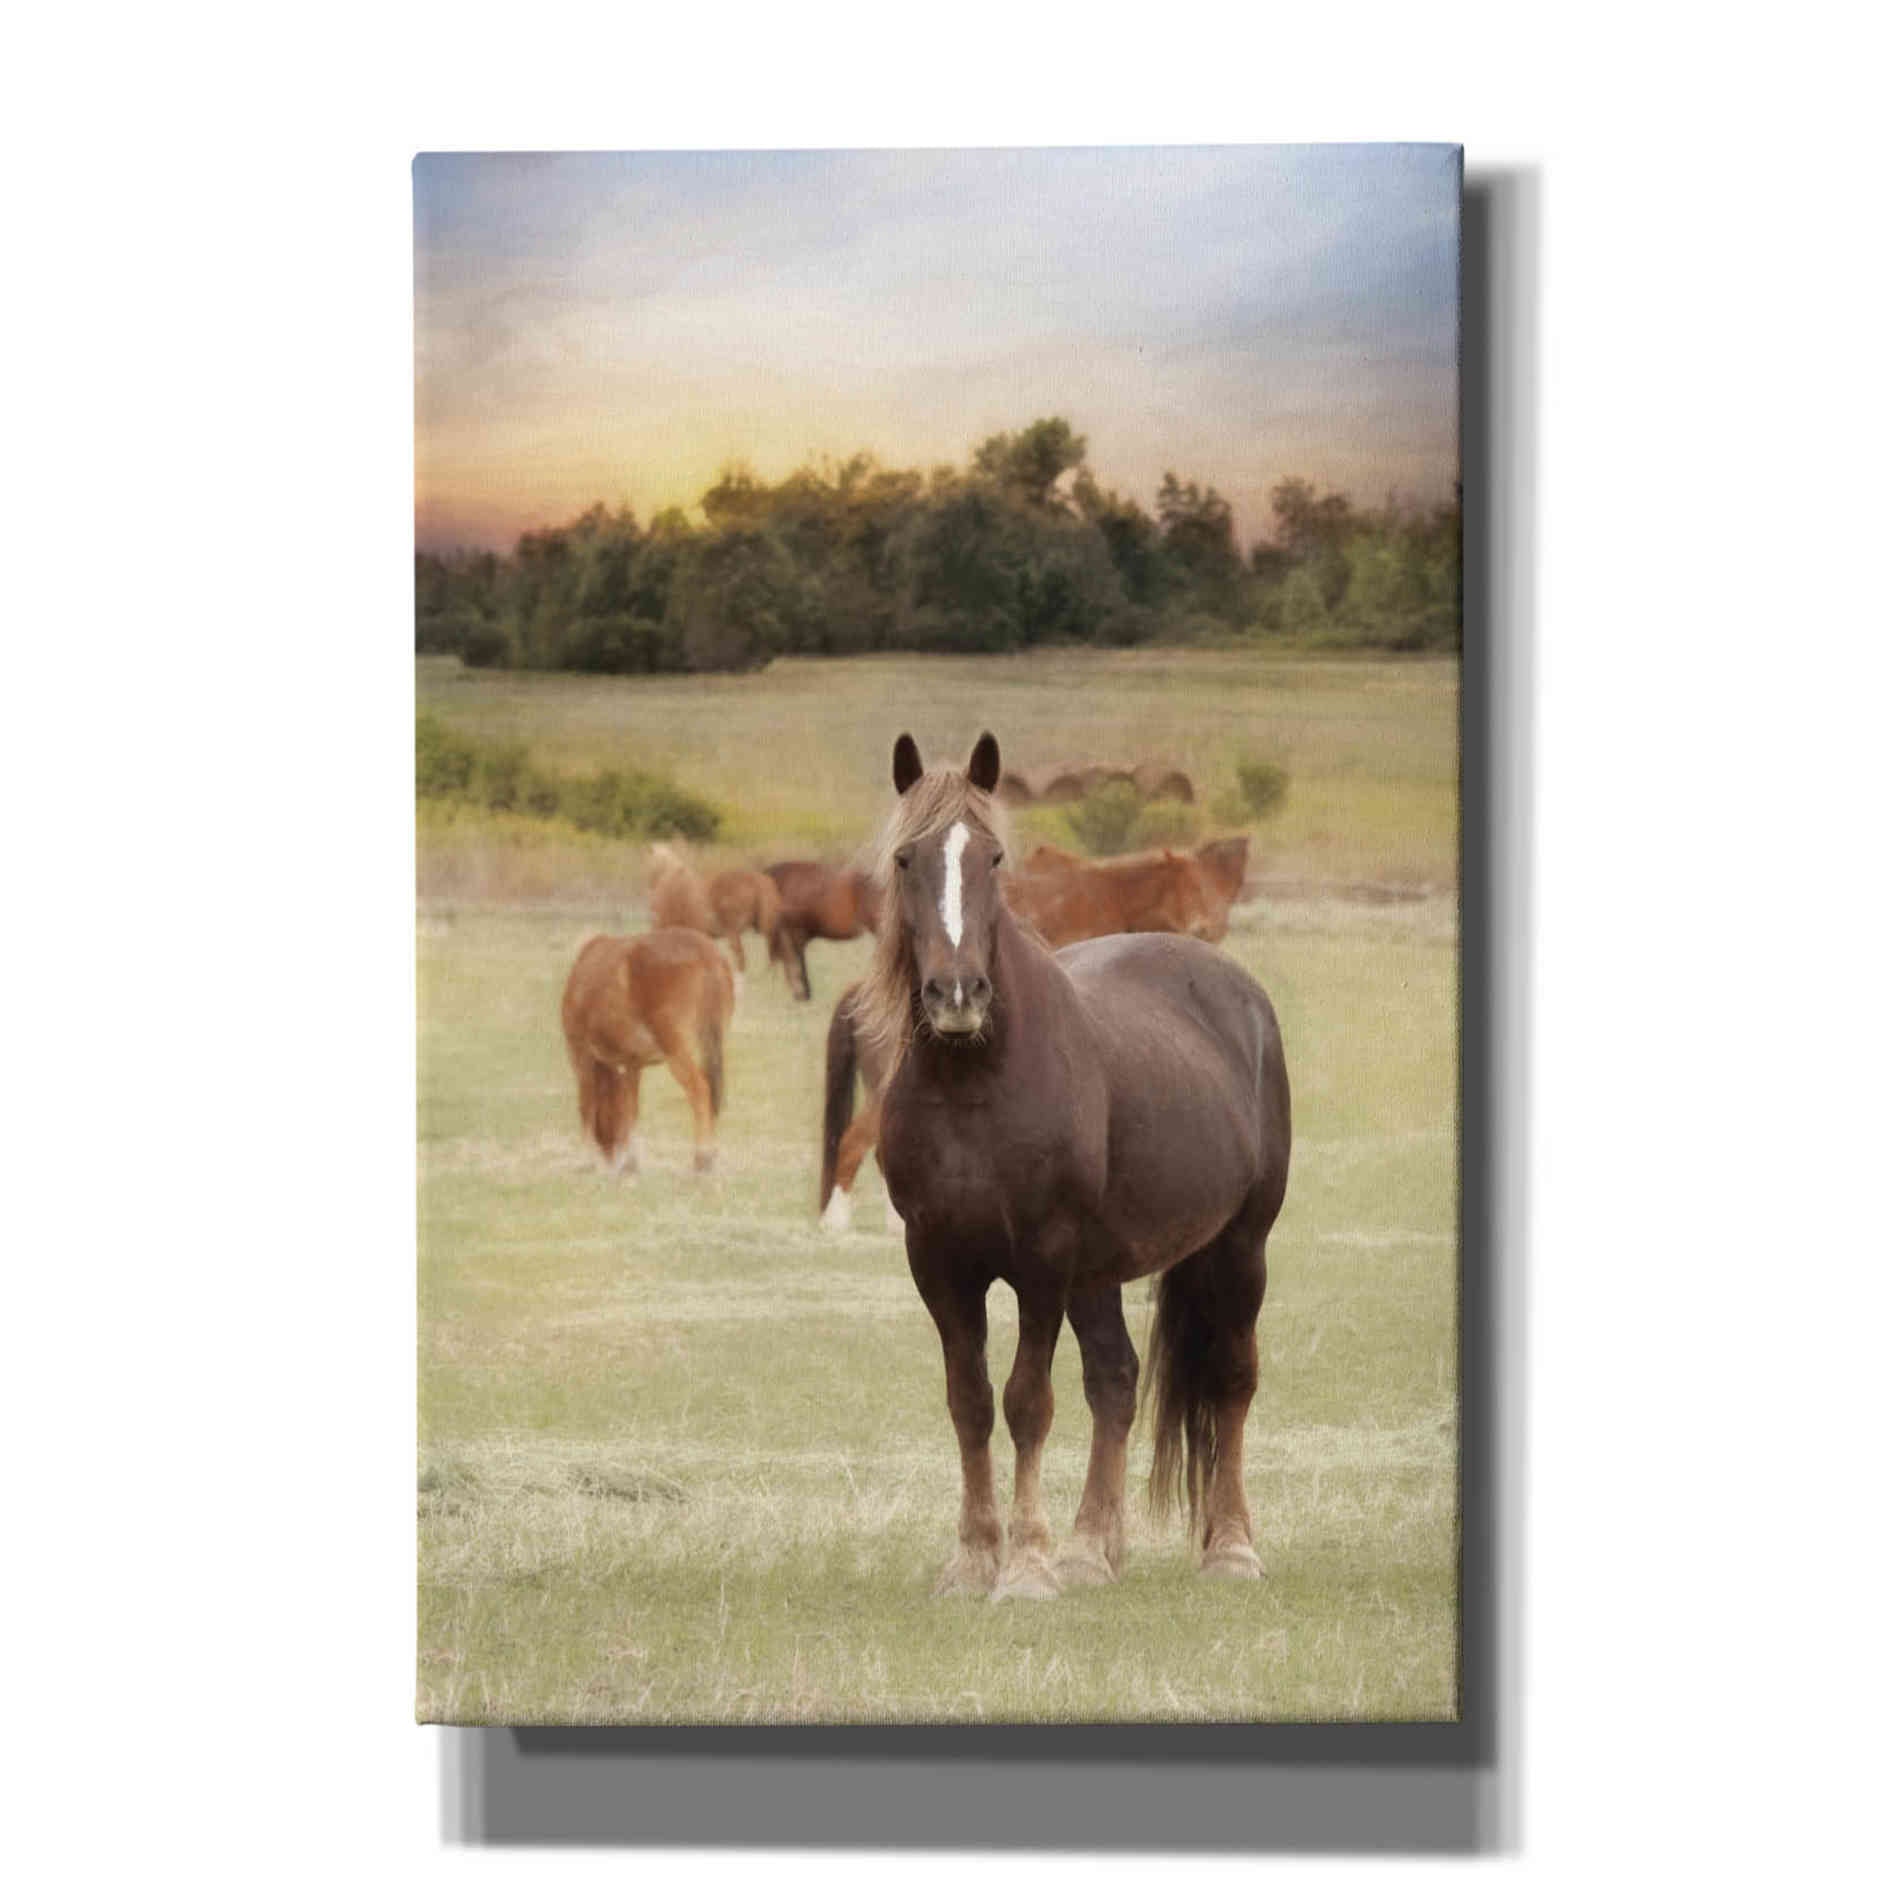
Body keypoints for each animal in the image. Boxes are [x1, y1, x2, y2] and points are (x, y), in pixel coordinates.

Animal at [560, 927, 735, 1174]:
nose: (610, 1157)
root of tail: (706, 955)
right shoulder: (633, 1063)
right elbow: (631, 1108)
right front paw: (630, 1161)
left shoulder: (582, 1054)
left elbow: (587, 1105)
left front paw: (587, 1160)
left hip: (677, 1052)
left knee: (700, 1090)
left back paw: (702, 1156)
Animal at [863, 731, 1291, 1601]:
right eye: (905, 858)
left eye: (992, 857)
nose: (957, 994)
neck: (975, 1082)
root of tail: (1233, 985)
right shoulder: (938, 1262)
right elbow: (970, 1402)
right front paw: (974, 1559)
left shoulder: (1041, 1262)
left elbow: (1028, 1402)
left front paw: (1026, 1566)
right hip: (1100, 1271)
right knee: (1117, 1383)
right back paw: (1093, 1549)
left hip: (1240, 1246)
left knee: (1232, 1380)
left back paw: (1231, 1547)